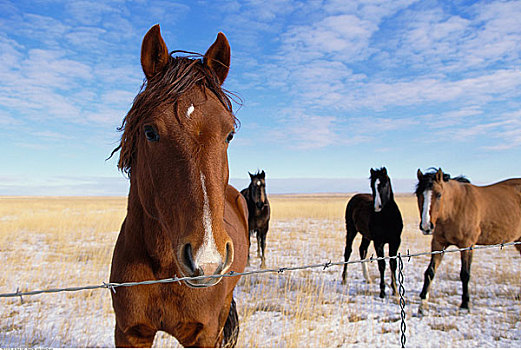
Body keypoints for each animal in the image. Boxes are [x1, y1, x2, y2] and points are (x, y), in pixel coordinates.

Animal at [108, 25, 249, 348]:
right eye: (150, 131)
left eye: (229, 134)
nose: (206, 260)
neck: (163, 269)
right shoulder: (129, 332)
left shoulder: (204, 334)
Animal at [342, 168, 402, 300]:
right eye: (372, 185)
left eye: (384, 184)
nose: (377, 206)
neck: (387, 218)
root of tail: (356, 196)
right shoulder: (378, 242)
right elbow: (382, 264)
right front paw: (382, 291)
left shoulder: (395, 241)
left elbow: (393, 264)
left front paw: (395, 290)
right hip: (351, 230)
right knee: (348, 251)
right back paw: (343, 278)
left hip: (366, 236)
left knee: (362, 250)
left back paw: (367, 278)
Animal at [414, 168, 520, 314]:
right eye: (418, 194)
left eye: (439, 194)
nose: (426, 226)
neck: (454, 208)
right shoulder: (438, 244)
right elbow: (430, 271)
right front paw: (422, 304)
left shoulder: (467, 246)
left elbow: (465, 274)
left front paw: (465, 304)